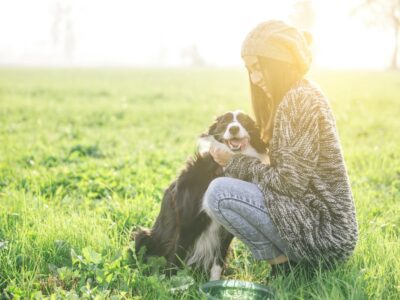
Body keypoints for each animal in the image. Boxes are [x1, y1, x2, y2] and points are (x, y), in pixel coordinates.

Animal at [134, 110, 268, 282]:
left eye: (244, 121)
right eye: (225, 122)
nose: (233, 129)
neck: (222, 169)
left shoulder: (226, 229)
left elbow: (218, 261)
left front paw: (214, 283)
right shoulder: (187, 221)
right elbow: (176, 256)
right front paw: (171, 284)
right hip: (143, 236)